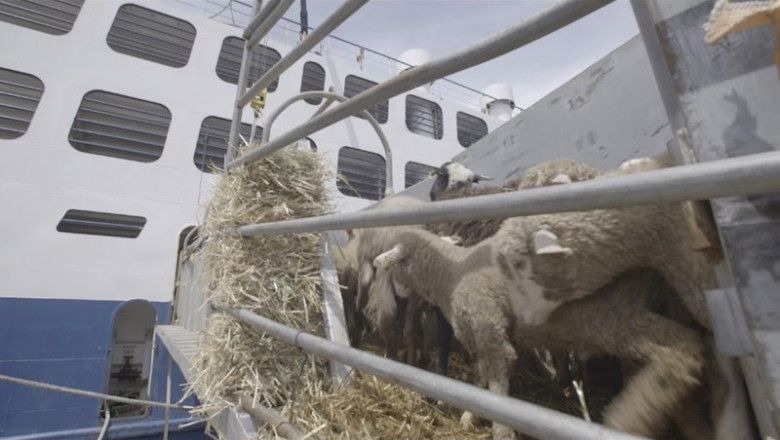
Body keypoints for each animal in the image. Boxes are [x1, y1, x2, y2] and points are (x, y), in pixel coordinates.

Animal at [362, 227, 708, 440]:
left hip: (614, 319)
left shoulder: (491, 330)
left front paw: (500, 430)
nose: (375, 267)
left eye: (392, 261)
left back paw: (632, 415)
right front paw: (470, 415)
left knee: (679, 350)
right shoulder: (484, 337)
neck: (453, 273)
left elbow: (497, 388)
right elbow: (480, 381)